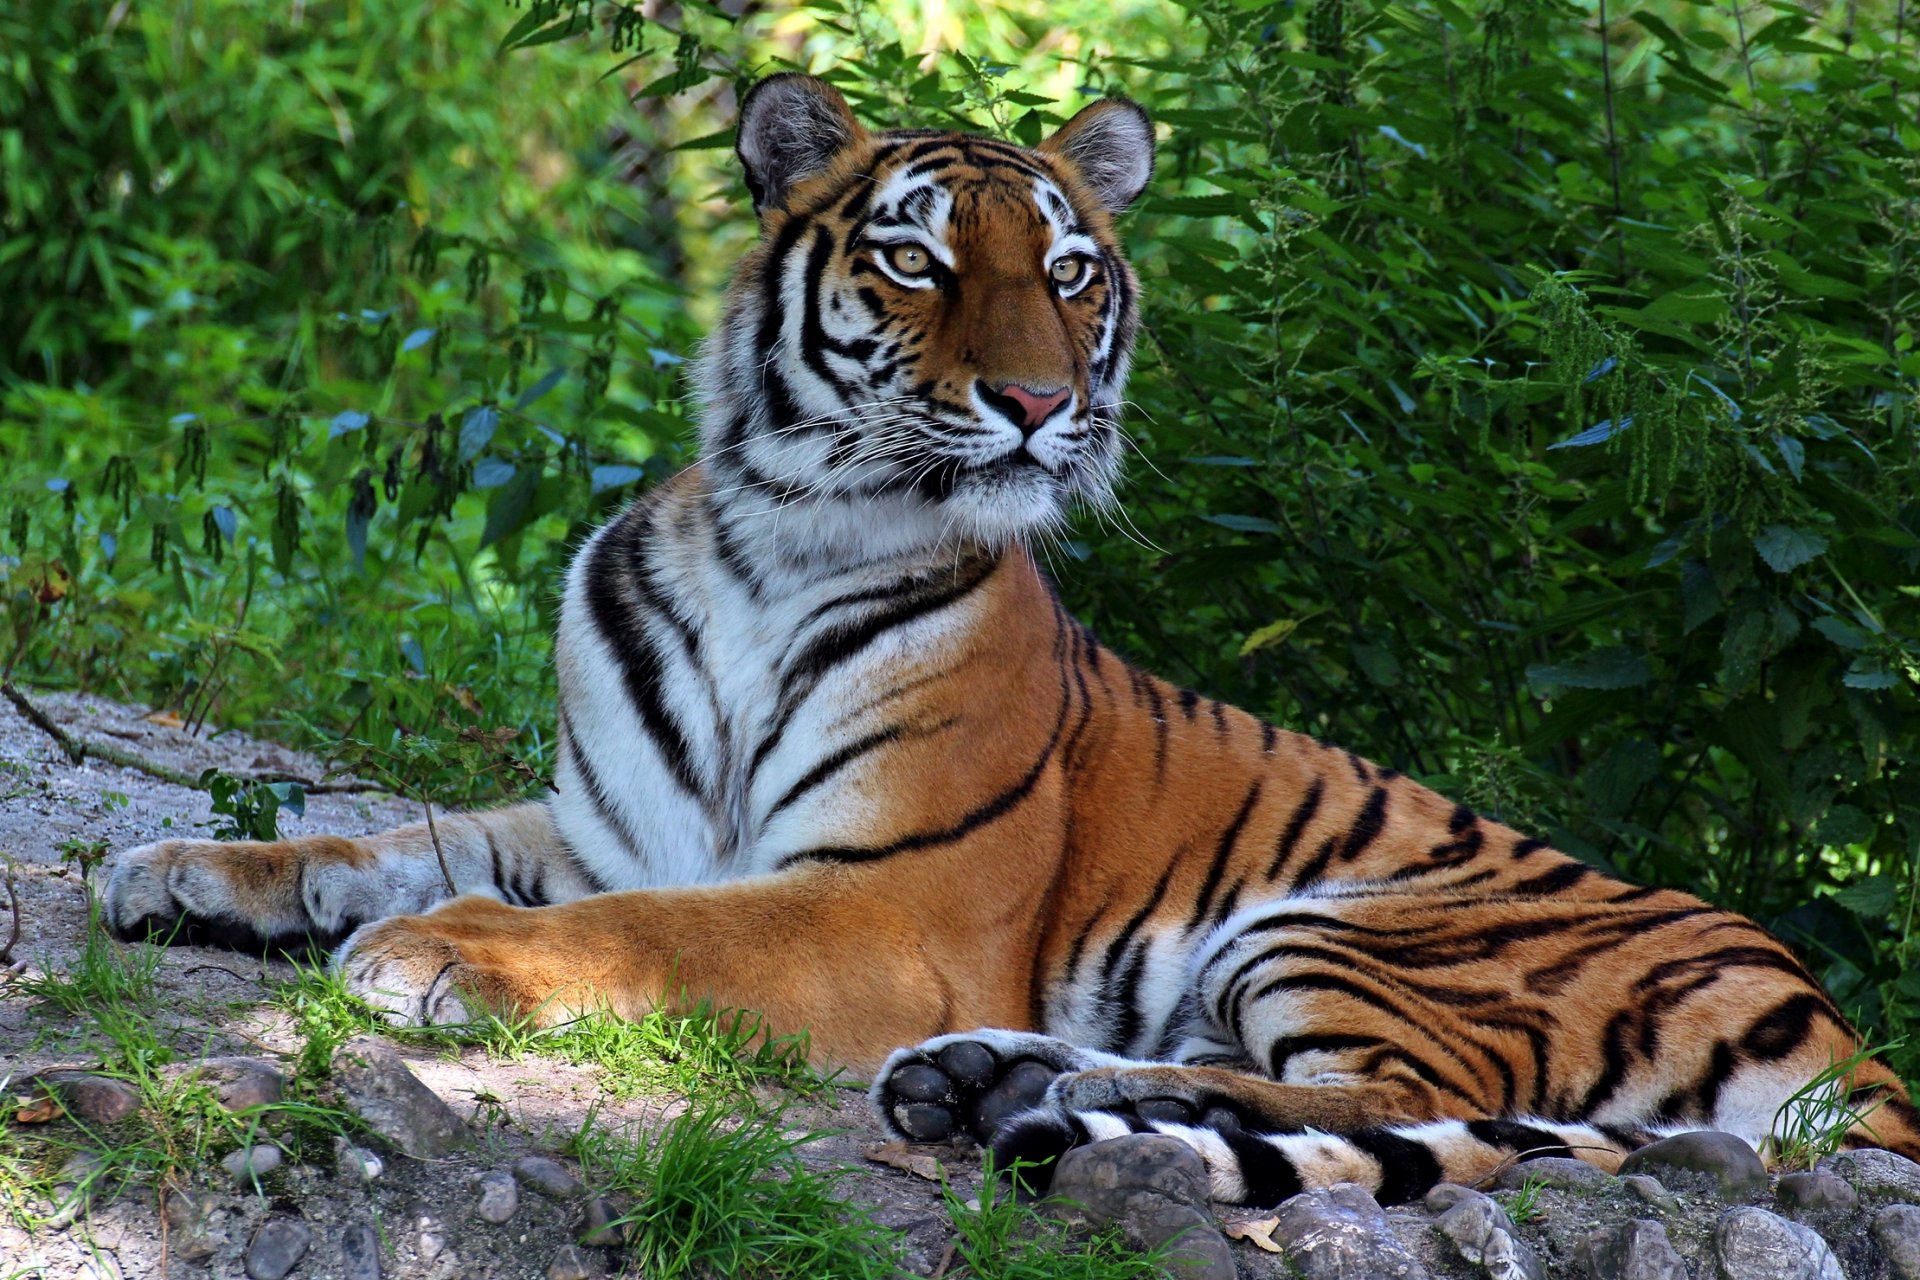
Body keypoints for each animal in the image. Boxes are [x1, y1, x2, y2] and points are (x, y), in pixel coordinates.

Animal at [103, 73, 1920, 1208]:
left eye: (1068, 272)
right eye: (913, 260)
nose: (1040, 405)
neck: (780, 537)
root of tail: (1840, 1023)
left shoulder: (885, 900)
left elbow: (653, 931)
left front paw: (443, 957)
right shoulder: (605, 820)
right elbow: (387, 833)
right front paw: (191, 868)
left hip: (1360, 930)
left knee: (1418, 1099)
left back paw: (1056, 1108)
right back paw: (988, 1085)